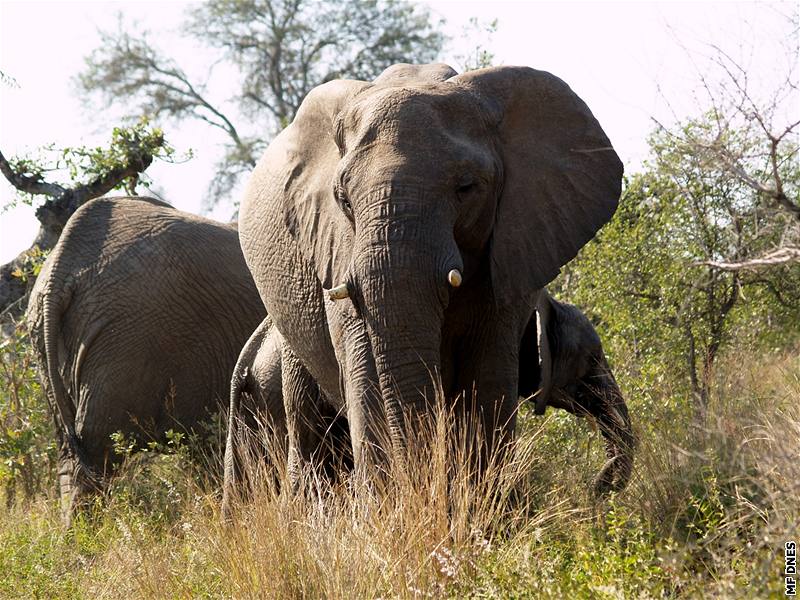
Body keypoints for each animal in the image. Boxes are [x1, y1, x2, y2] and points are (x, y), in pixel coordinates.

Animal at [238, 61, 624, 482]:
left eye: (467, 187)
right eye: (343, 200)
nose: (597, 482)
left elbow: (486, 379)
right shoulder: (336, 249)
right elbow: (366, 377)